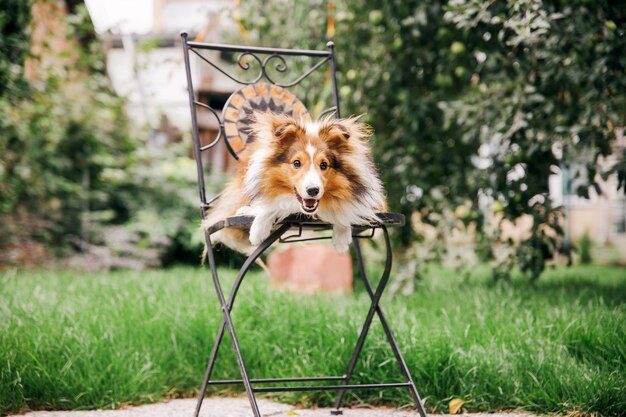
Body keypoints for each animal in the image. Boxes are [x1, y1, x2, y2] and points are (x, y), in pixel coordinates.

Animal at [201, 110, 386, 254]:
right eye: (296, 163)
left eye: (324, 165)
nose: (313, 190)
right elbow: (272, 204)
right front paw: (258, 231)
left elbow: (347, 207)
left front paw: (341, 237)